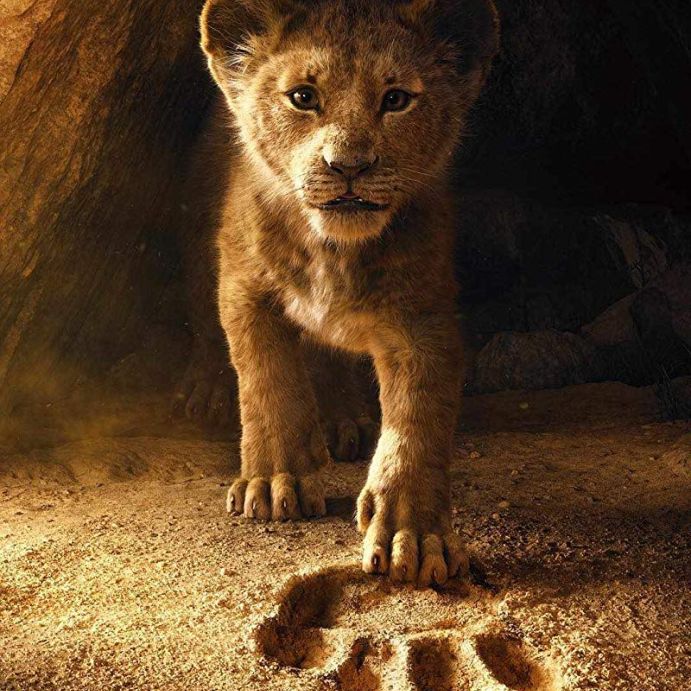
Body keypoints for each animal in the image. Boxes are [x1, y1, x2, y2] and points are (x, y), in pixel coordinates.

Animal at [196, 0, 499, 586]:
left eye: (396, 99)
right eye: (302, 97)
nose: (349, 166)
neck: (333, 250)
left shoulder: (424, 317)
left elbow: (417, 421)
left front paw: (414, 534)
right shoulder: (244, 287)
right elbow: (268, 381)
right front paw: (276, 481)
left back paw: (345, 422)